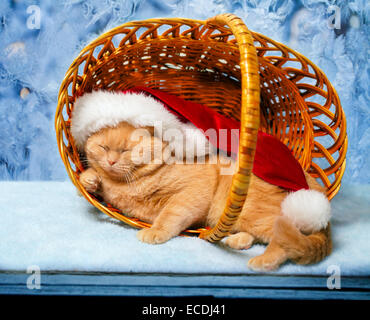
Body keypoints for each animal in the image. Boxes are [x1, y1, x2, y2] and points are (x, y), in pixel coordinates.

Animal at [79, 121, 332, 272]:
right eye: (103, 147)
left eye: (125, 150)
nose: (111, 161)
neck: (128, 184)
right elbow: (96, 178)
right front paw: (90, 179)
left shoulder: (191, 193)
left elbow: (169, 215)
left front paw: (154, 232)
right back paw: (238, 241)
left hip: (249, 211)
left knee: (284, 238)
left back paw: (263, 261)